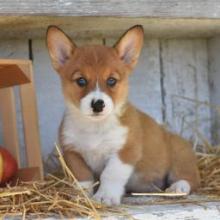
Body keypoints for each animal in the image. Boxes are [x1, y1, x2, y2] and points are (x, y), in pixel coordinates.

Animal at [46, 24, 199, 205]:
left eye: (111, 80)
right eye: (81, 81)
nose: (98, 104)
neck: (95, 127)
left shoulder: (125, 151)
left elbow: (110, 174)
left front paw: (105, 196)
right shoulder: (72, 153)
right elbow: (82, 178)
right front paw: (81, 197)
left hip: (179, 154)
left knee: (190, 178)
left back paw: (178, 187)